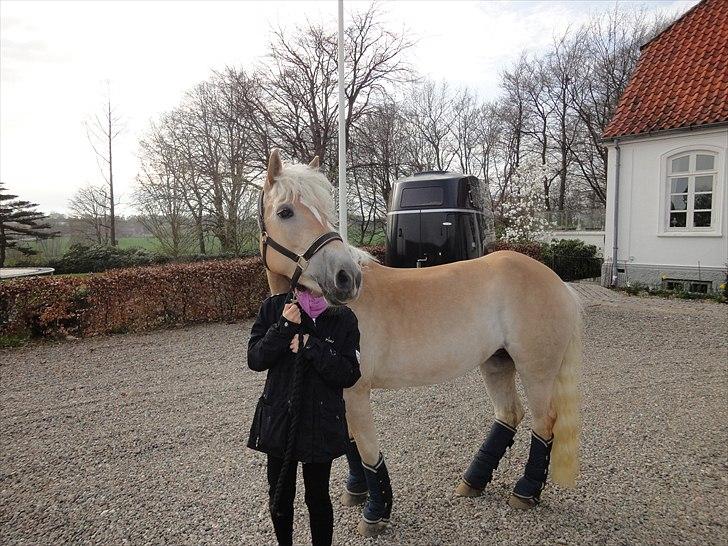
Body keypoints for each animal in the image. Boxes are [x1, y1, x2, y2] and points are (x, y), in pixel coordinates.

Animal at [258, 149, 584, 536]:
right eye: (285, 212)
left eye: (326, 208)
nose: (346, 278)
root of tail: (557, 282)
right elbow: (350, 444)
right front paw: (355, 491)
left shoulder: (356, 392)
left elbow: (367, 450)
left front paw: (375, 512)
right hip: (496, 362)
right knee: (509, 415)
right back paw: (473, 481)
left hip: (537, 371)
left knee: (544, 423)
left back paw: (526, 491)